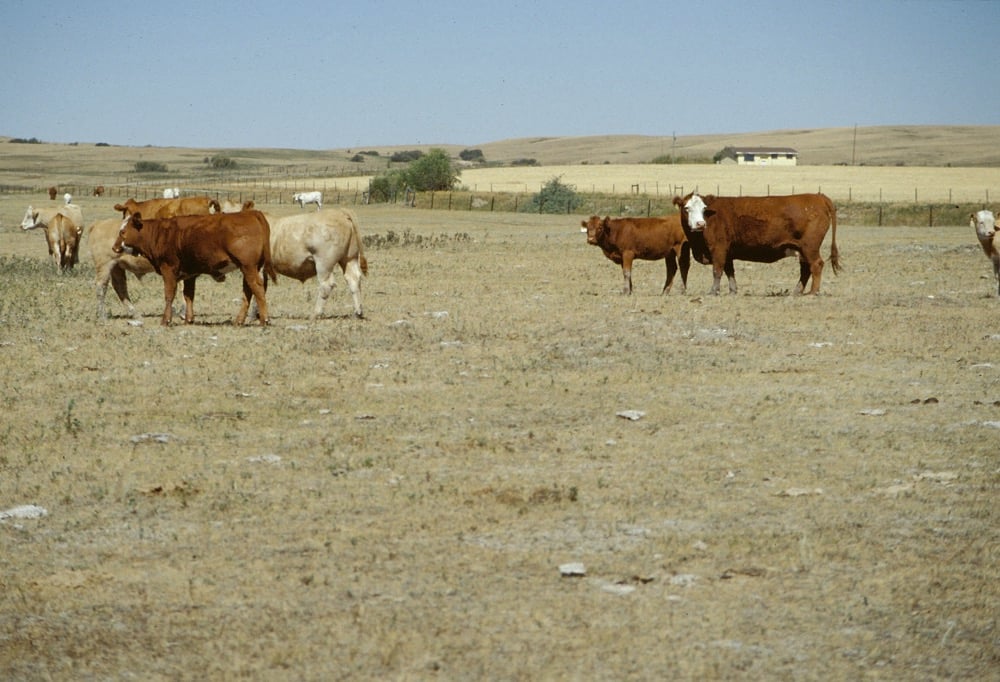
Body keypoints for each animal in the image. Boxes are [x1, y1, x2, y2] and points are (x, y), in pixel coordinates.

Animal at [113, 211, 277, 326]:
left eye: (123, 232)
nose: (114, 247)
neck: (159, 234)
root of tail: (251, 213)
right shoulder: (190, 274)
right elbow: (188, 295)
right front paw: (189, 319)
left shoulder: (168, 269)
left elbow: (169, 295)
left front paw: (166, 320)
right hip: (249, 267)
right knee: (248, 291)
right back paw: (239, 320)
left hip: (248, 266)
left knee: (257, 288)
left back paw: (265, 320)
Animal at [673, 192, 840, 295]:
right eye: (686, 208)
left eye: (704, 209)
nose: (700, 224)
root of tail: (818, 197)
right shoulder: (728, 252)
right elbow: (729, 271)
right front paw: (733, 290)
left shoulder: (718, 249)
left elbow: (717, 271)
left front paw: (714, 291)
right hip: (802, 249)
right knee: (805, 269)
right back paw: (797, 291)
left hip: (809, 247)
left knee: (816, 264)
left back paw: (813, 292)